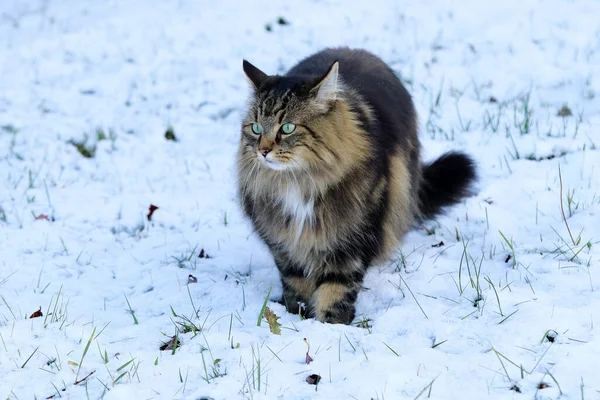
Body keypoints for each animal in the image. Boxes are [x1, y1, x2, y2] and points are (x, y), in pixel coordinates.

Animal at [237, 47, 476, 324]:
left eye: (287, 128)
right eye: (255, 128)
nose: (262, 151)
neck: (299, 181)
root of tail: (356, 50)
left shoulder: (353, 238)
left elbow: (337, 288)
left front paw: (331, 324)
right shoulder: (284, 242)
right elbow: (296, 282)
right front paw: (297, 315)